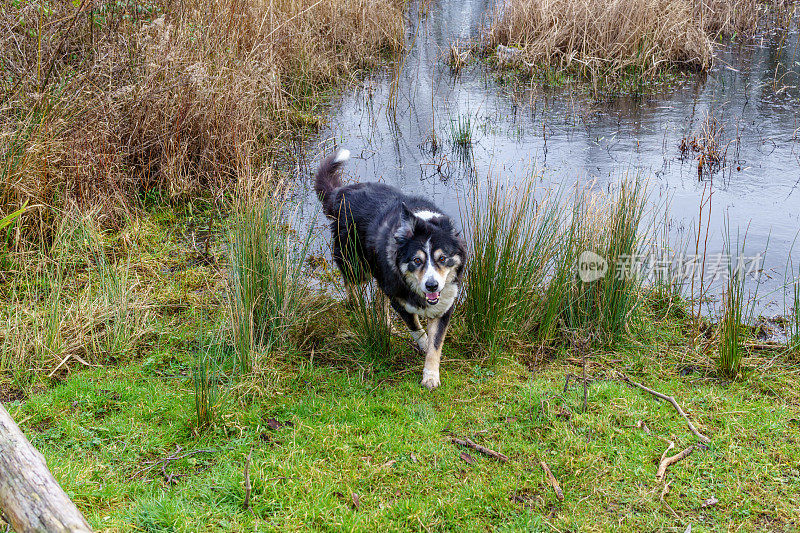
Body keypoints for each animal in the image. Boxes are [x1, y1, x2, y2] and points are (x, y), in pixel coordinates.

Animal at [312, 148, 462, 388]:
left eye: (442, 258)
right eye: (417, 260)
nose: (431, 286)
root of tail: (340, 193)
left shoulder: (444, 305)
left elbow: (435, 345)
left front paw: (430, 375)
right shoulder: (400, 298)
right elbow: (417, 329)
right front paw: (422, 345)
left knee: (379, 298)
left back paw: (387, 326)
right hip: (356, 264)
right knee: (351, 284)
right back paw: (356, 307)